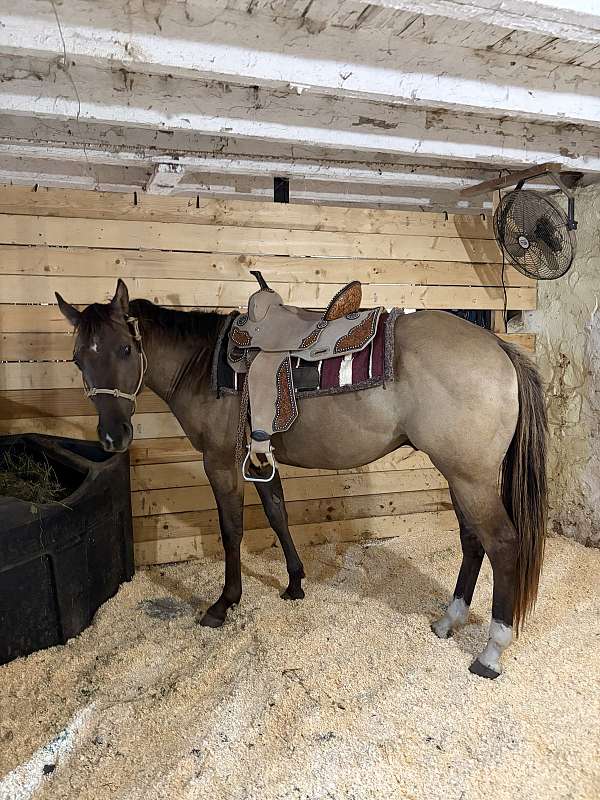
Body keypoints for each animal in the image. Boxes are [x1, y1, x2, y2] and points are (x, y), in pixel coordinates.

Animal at [56, 279, 547, 679]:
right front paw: (294, 584)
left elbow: (231, 531)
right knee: (472, 541)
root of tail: (498, 347)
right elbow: (277, 515)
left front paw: (224, 603)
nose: (112, 436)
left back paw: (490, 652)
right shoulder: (259, 457)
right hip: (460, 476)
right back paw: (449, 620)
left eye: (125, 349)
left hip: (471, 478)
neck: (204, 365)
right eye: (78, 359)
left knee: (502, 544)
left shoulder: (221, 464)